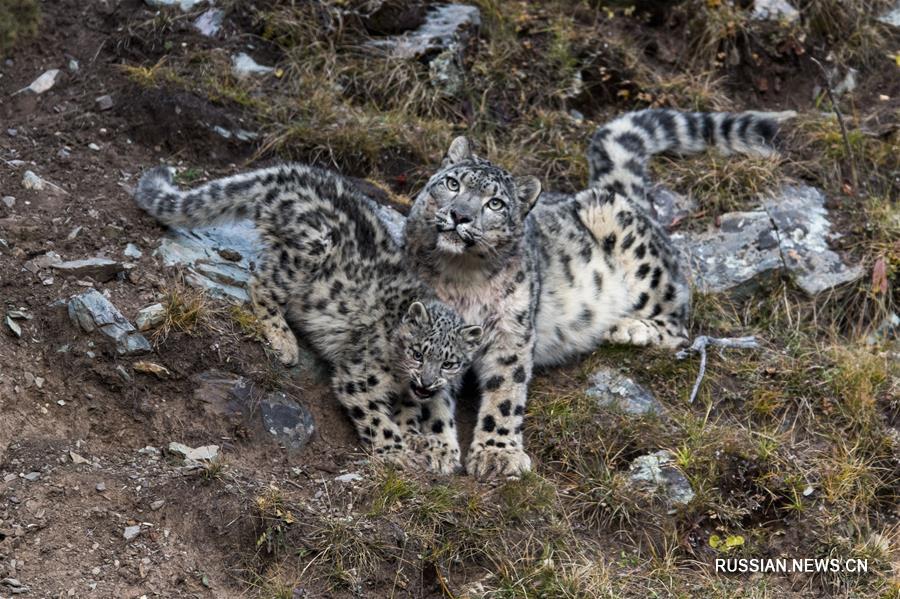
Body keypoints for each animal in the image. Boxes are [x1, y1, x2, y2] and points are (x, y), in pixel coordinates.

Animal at [132, 164, 486, 474]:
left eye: (450, 363)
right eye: (417, 353)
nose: (427, 382)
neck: (400, 377)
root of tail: (287, 172)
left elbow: (408, 413)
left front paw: (416, 439)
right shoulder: (357, 376)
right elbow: (377, 418)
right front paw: (397, 452)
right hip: (311, 246)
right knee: (260, 284)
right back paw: (284, 341)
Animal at [408, 108, 796, 480]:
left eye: (495, 204)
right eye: (452, 183)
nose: (460, 215)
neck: (464, 278)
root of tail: (623, 196)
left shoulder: (510, 332)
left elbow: (505, 392)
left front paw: (497, 455)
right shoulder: (431, 332)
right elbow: (429, 394)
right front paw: (434, 447)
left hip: (628, 242)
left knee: (678, 322)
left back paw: (629, 328)